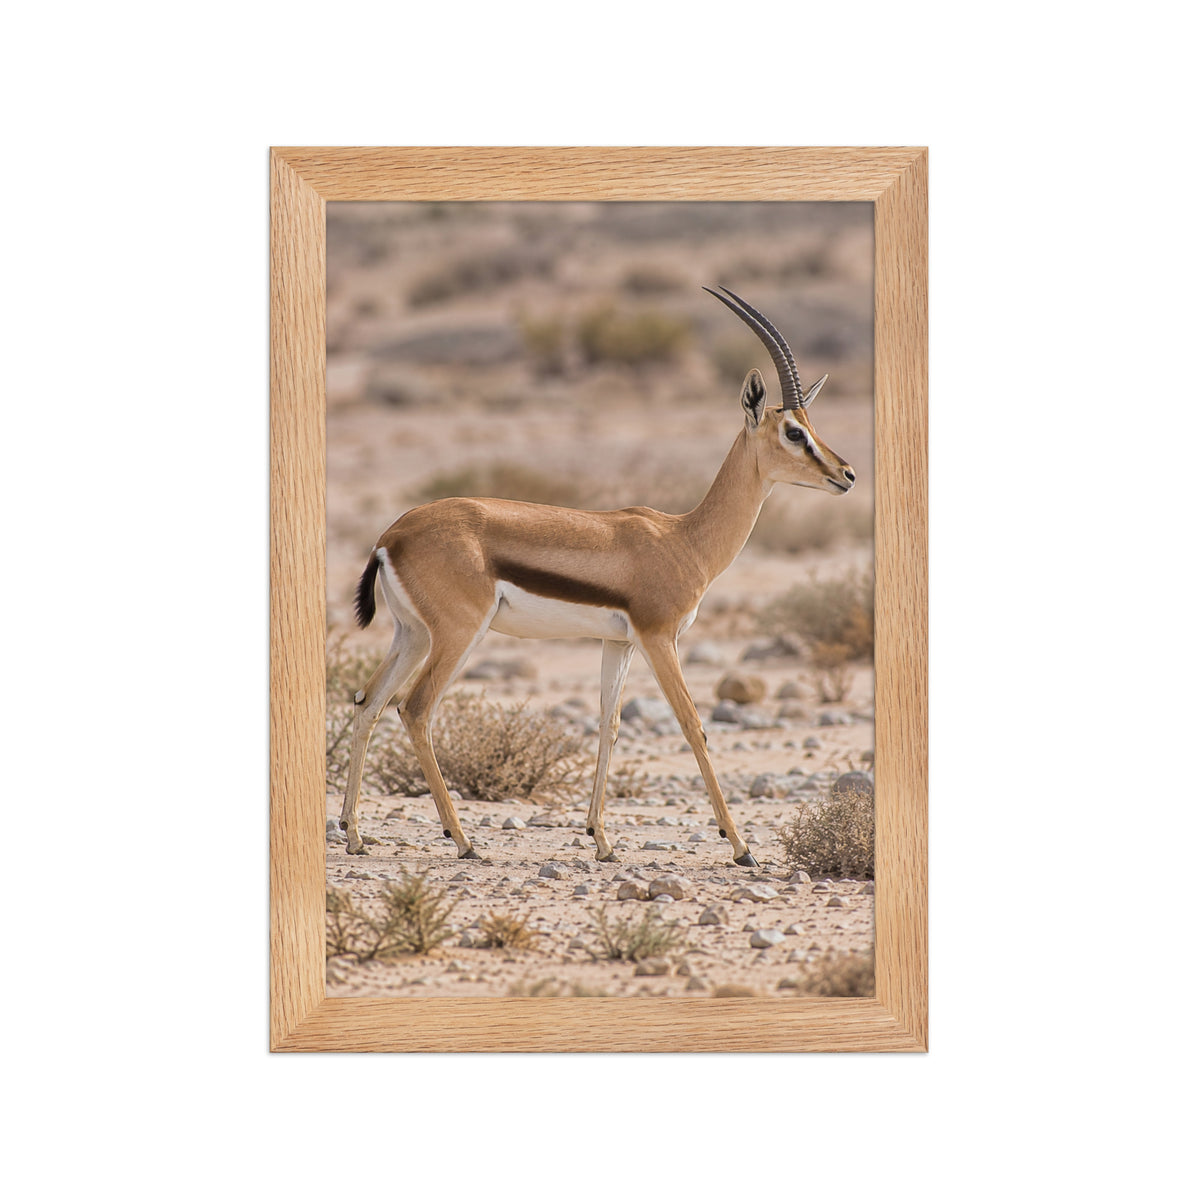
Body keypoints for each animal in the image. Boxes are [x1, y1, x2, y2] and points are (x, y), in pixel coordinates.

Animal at [340, 287, 855, 868]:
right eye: (794, 431)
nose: (847, 474)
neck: (685, 539)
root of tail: (392, 535)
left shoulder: (620, 643)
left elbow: (609, 724)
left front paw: (602, 840)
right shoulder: (659, 638)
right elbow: (692, 725)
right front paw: (741, 846)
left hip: (411, 635)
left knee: (368, 702)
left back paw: (355, 834)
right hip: (456, 635)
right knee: (415, 708)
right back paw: (464, 840)